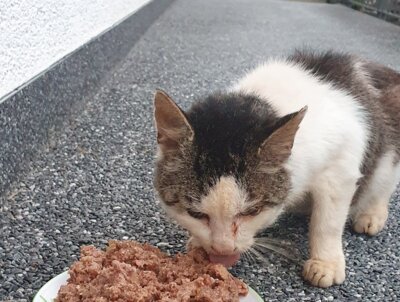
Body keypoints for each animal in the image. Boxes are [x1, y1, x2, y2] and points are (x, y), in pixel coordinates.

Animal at [152, 50, 398, 290]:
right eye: (195, 214)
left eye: (252, 211)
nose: (223, 249)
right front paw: (198, 243)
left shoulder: (342, 159)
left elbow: (327, 221)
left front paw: (325, 263)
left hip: (389, 153)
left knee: (384, 183)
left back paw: (372, 214)